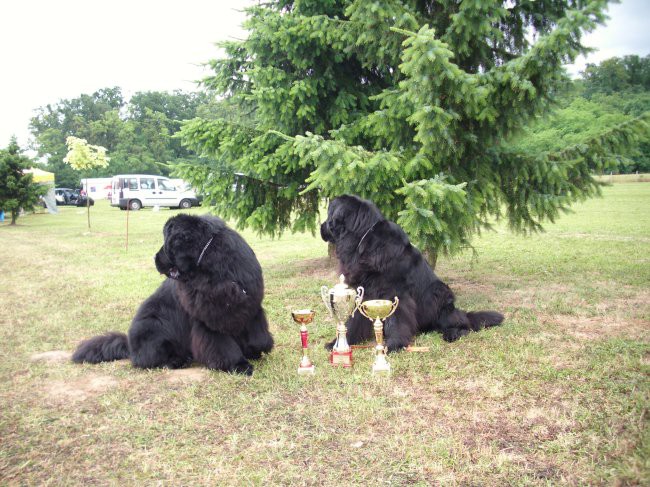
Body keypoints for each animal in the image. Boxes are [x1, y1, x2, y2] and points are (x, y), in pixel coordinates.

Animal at [72, 212, 272, 376]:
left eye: (167, 242)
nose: (154, 258)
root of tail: (128, 345)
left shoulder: (249, 305)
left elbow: (258, 334)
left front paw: (256, 350)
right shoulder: (209, 319)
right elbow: (222, 345)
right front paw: (238, 365)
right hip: (151, 326)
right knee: (148, 360)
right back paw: (177, 360)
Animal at [318, 193, 502, 348]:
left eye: (328, 214)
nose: (321, 226)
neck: (362, 241)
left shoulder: (396, 294)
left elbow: (397, 320)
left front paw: (394, 345)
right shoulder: (363, 292)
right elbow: (354, 320)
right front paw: (340, 342)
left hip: (439, 294)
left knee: (463, 323)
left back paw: (453, 332)